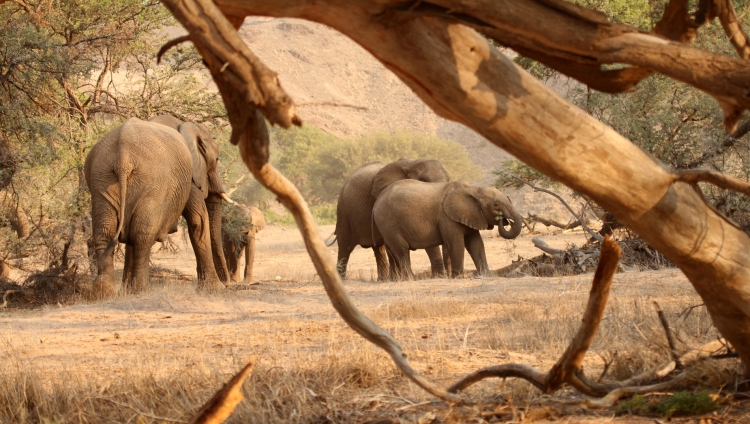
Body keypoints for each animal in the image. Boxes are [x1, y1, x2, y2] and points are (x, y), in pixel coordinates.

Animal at [85, 115, 232, 298]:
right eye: (217, 159)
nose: (228, 283)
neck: (186, 125)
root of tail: (123, 158)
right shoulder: (190, 177)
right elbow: (198, 220)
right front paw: (215, 290)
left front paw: (126, 291)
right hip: (153, 183)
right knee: (142, 234)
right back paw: (142, 290)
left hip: (101, 178)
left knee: (106, 232)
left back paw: (105, 292)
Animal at [374, 181, 524, 280]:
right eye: (496, 204)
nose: (504, 220)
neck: (473, 189)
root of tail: (378, 199)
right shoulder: (446, 218)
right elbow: (456, 243)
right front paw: (459, 277)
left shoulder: (470, 215)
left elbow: (476, 244)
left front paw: (486, 274)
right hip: (389, 222)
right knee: (402, 250)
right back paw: (411, 279)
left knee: (392, 251)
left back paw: (398, 279)